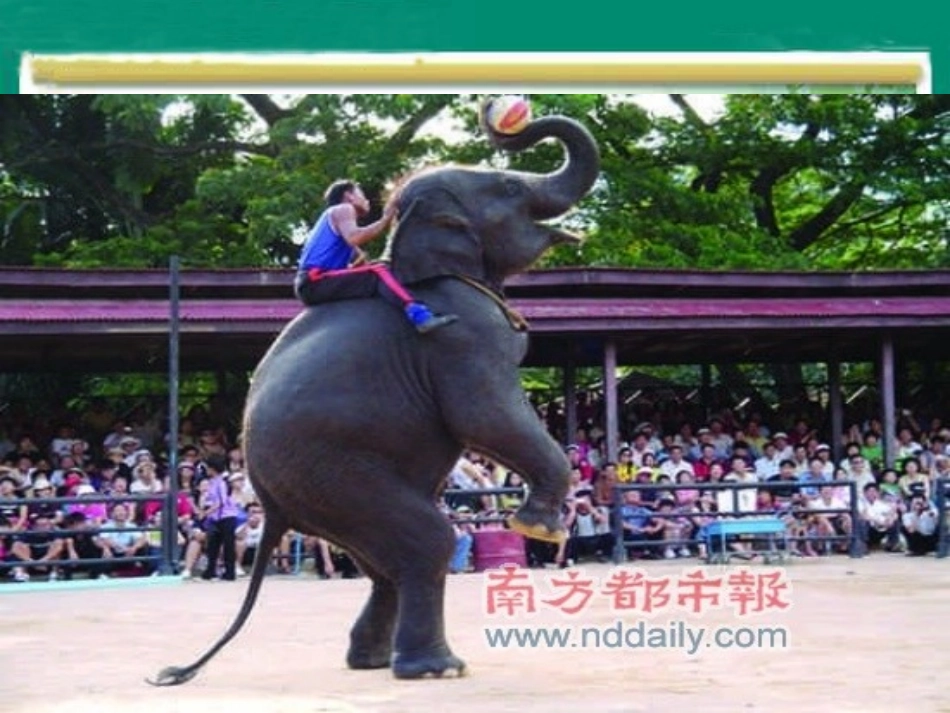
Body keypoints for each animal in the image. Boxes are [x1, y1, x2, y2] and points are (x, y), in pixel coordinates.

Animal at [150, 98, 601, 685]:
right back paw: (436, 670)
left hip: (322, 493)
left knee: (383, 562)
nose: (502, 117)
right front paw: (538, 529)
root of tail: (268, 506)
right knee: (429, 541)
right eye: (507, 187)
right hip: (331, 474)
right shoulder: (465, 334)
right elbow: (485, 417)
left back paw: (373, 661)